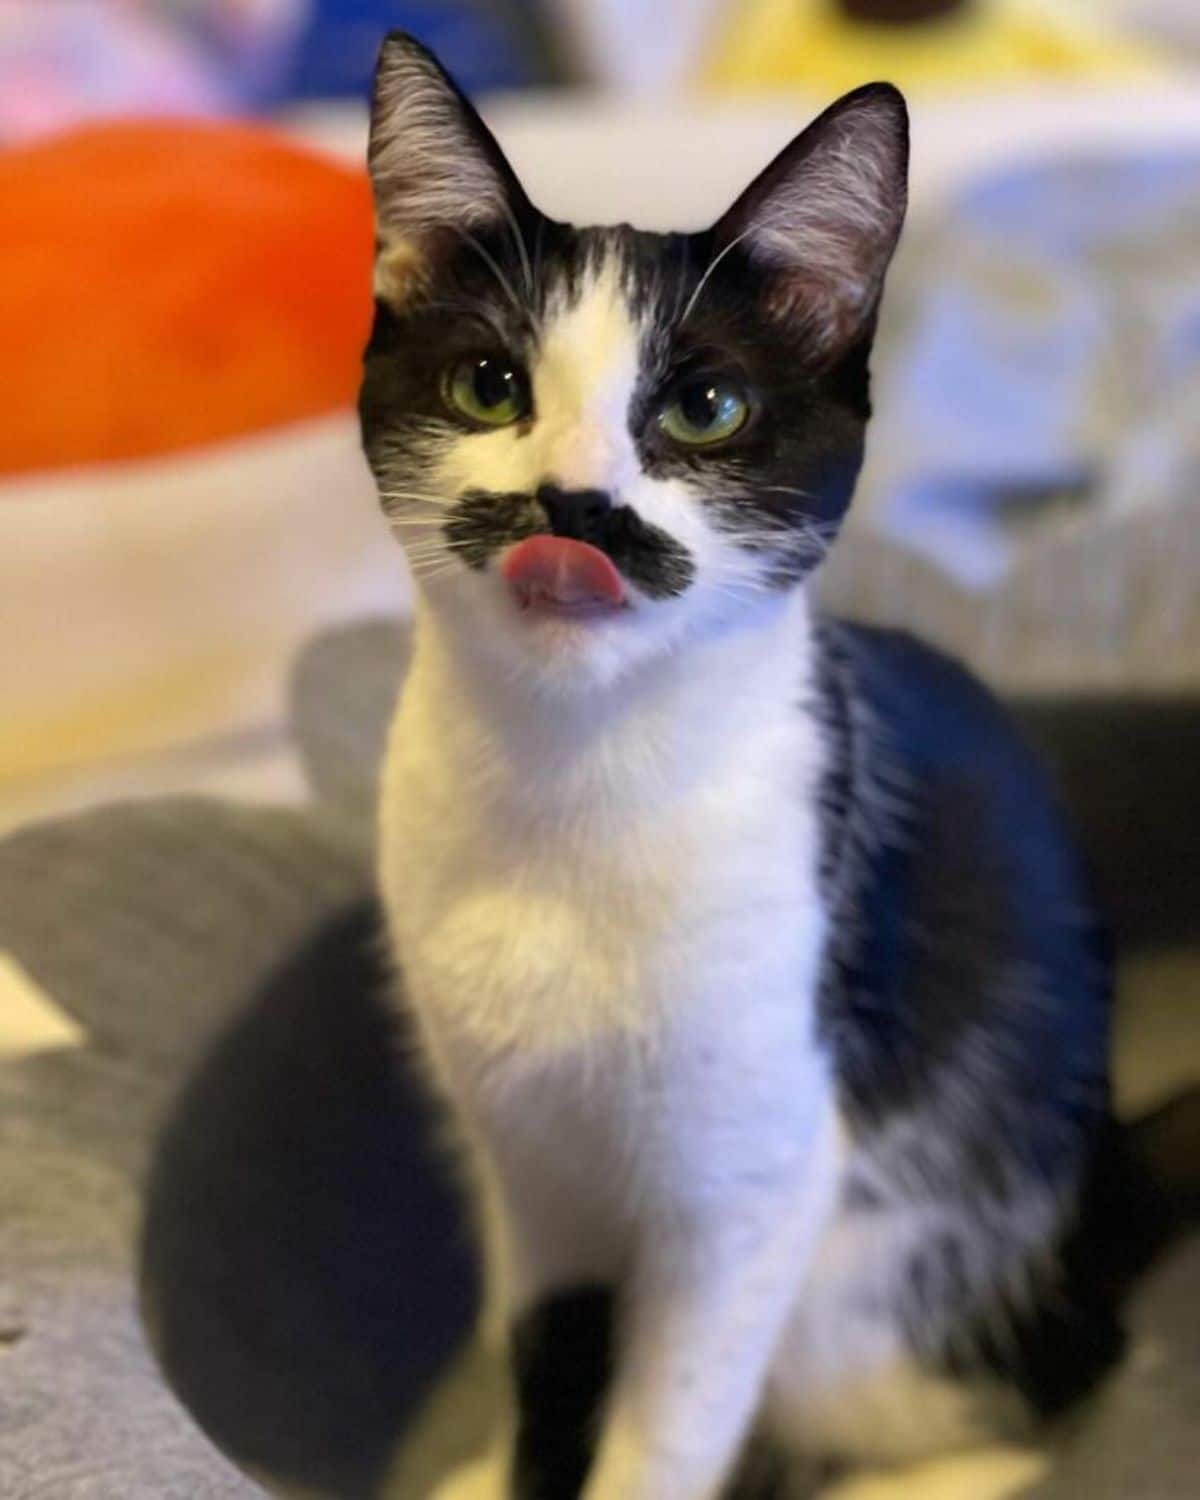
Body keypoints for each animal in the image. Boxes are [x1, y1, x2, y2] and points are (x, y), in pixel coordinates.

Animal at [363, 26, 1128, 1500]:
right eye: (490, 385)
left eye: (705, 407)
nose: (571, 504)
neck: (574, 779)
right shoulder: (524, 1169)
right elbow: (547, 1360)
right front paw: (512, 1463)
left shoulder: (758, 1179)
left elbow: (664, 1427)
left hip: (887, 1283)